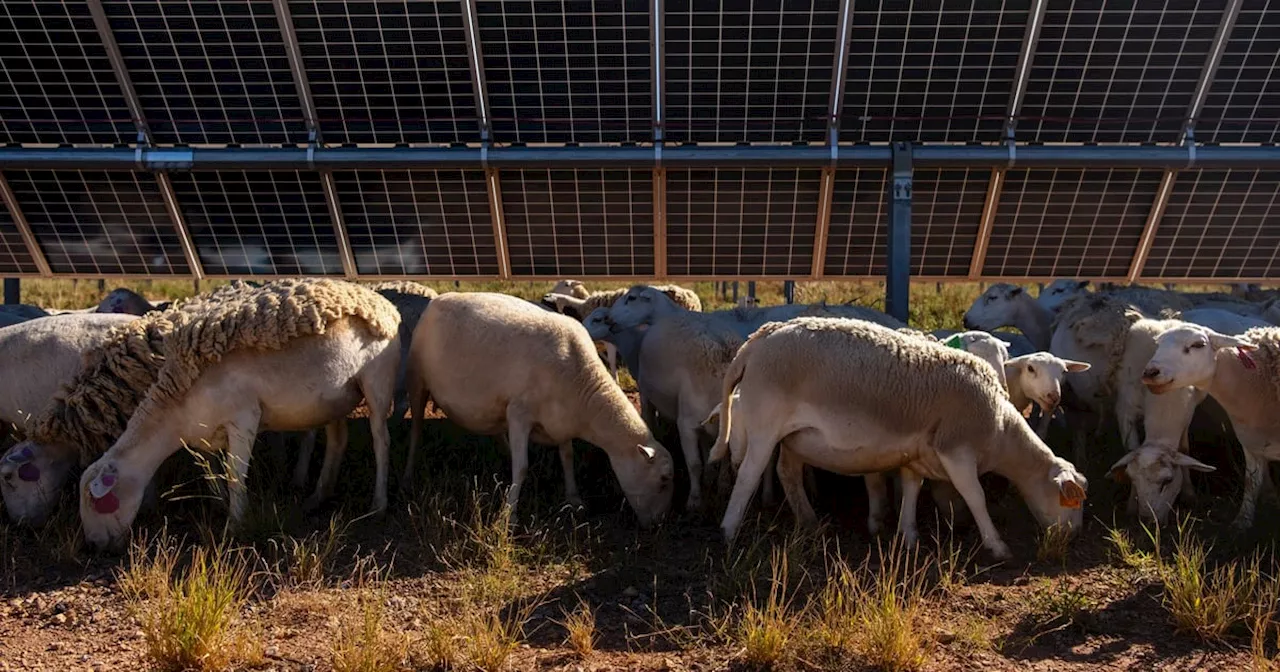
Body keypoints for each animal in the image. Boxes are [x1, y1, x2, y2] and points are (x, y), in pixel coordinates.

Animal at [76, 279, 399, 550]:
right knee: (338, 441)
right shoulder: (204, 432)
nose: (93, 546)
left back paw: (379, 504)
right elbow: (209, 470)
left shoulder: (243, 418)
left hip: (377, 383)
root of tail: (380, 301)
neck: (176, 410)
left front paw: (235, 524)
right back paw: (318, 497)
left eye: (94, 499)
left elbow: (234, 474)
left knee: (381, 441)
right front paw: (219, 503)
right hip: (335, 397)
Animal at [404, 289, 675, 524]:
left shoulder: (561, 420)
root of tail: (440, 297)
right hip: (417, 379)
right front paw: (509, 515)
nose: (658, 524)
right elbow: (522, 468)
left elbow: (567, 456)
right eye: (663, 480)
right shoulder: (519, 414)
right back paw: (409, 472)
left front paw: (574, 498)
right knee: (416, 429)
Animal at [706, 317, 1085, 558]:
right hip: (765, 427)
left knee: (788, 473)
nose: (1072, 538)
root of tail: (760, 337)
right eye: (1072, 501)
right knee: (748, 476)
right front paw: (996, 545)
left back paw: (809, 522)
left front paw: (908, 534)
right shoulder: (957, 450)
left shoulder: (918, 454)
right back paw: (728, 531)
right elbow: (975, 496)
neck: (1000, 427)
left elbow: (912, 489)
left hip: (794, 437)